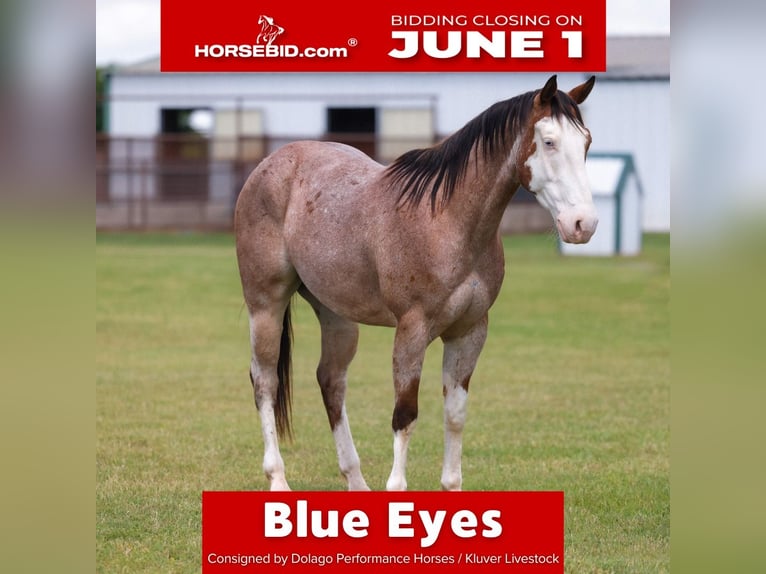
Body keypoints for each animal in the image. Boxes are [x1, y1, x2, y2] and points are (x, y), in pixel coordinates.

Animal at [234, 75, 598, 491]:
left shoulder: (469, 332)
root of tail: (271, 164)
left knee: (331, 381)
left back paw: (355, 480)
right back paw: (278, 479)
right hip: (266, 305)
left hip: (337, 315)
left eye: (586, 142)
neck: (446, 221)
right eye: (549, 141)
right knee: (265, 382)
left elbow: (455, 414)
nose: (583, 224)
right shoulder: (412, 330)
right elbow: (404, 414)